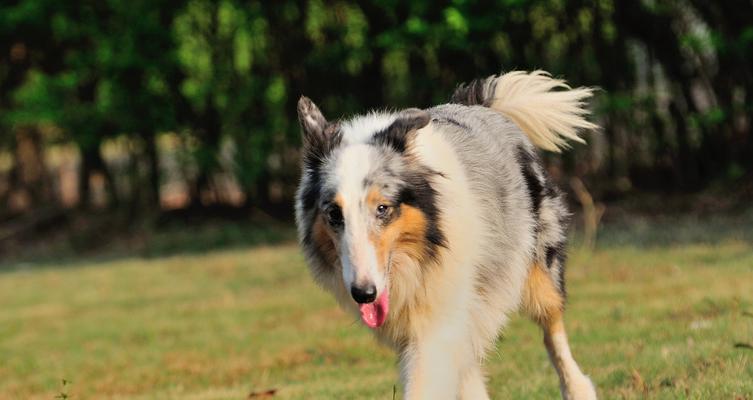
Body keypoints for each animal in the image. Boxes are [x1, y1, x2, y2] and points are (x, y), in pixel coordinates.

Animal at [296, 70, 600, 398]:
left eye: (383, 208)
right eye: (334, 214)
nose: (364, 294)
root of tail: (480, 105)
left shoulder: (438, 320)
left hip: (539, 267)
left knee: (552, 327)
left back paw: (577, 388)